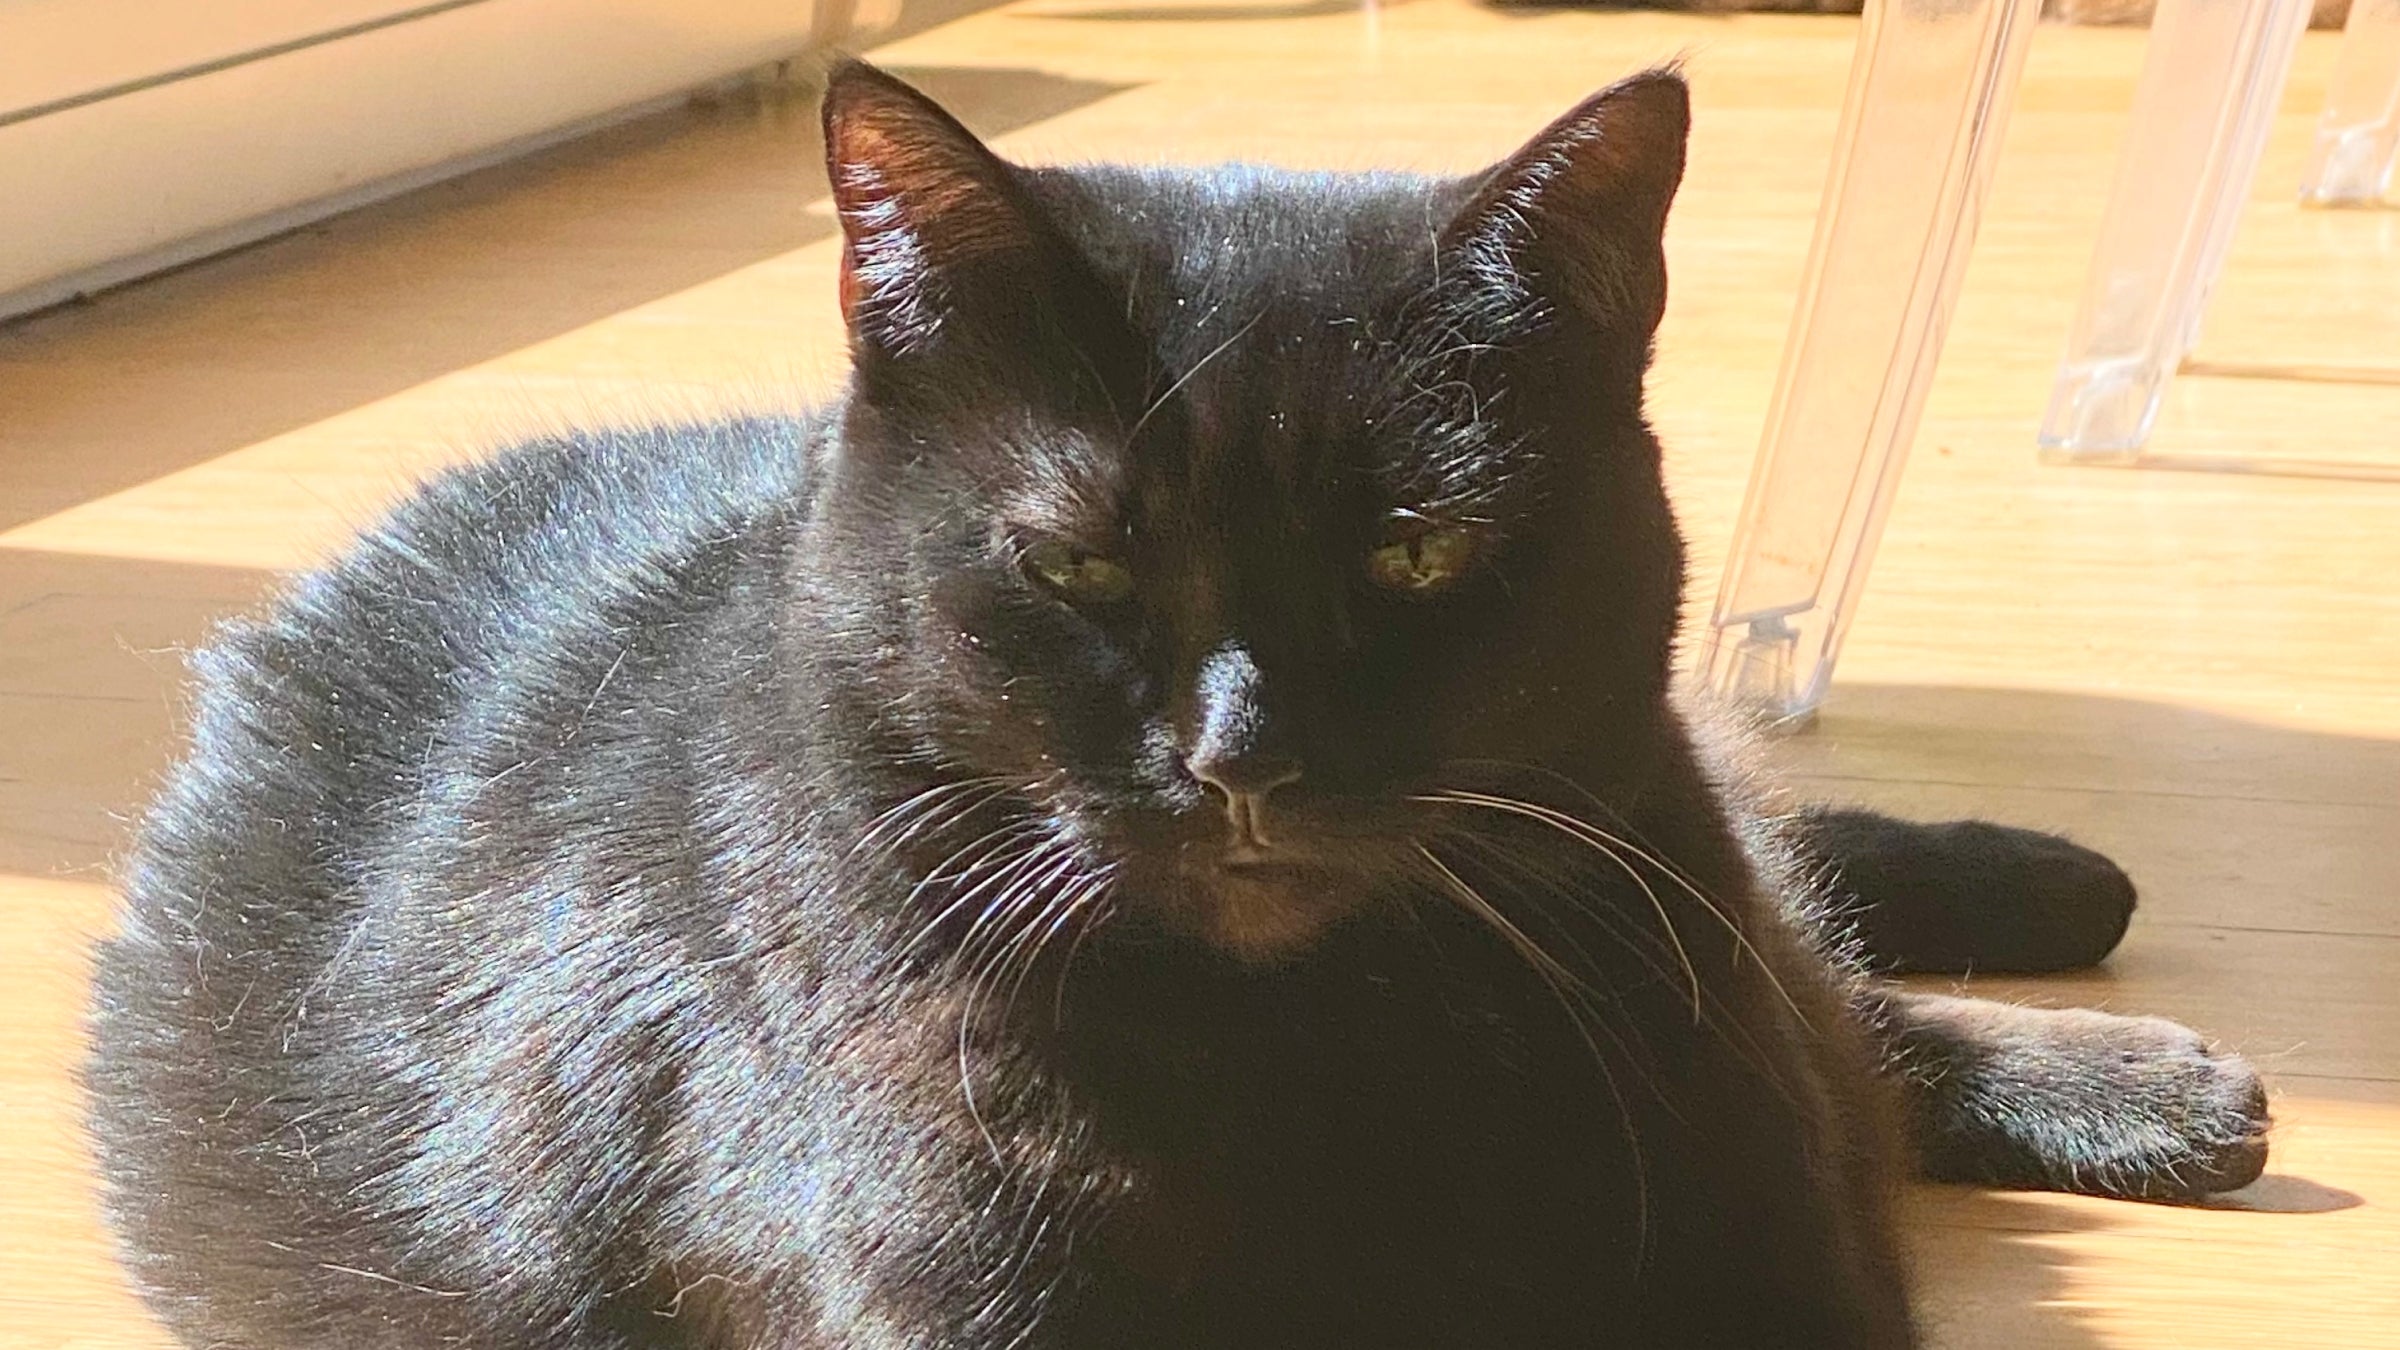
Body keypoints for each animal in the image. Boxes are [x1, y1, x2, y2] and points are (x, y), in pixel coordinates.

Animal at [84, 57, 2265, 1335]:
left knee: (1816, 943)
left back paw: (2125, 1020)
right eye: (1080, 566)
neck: (1335, 1062)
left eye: (1417, 553)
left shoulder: (1760, 1236)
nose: (1243, 759)